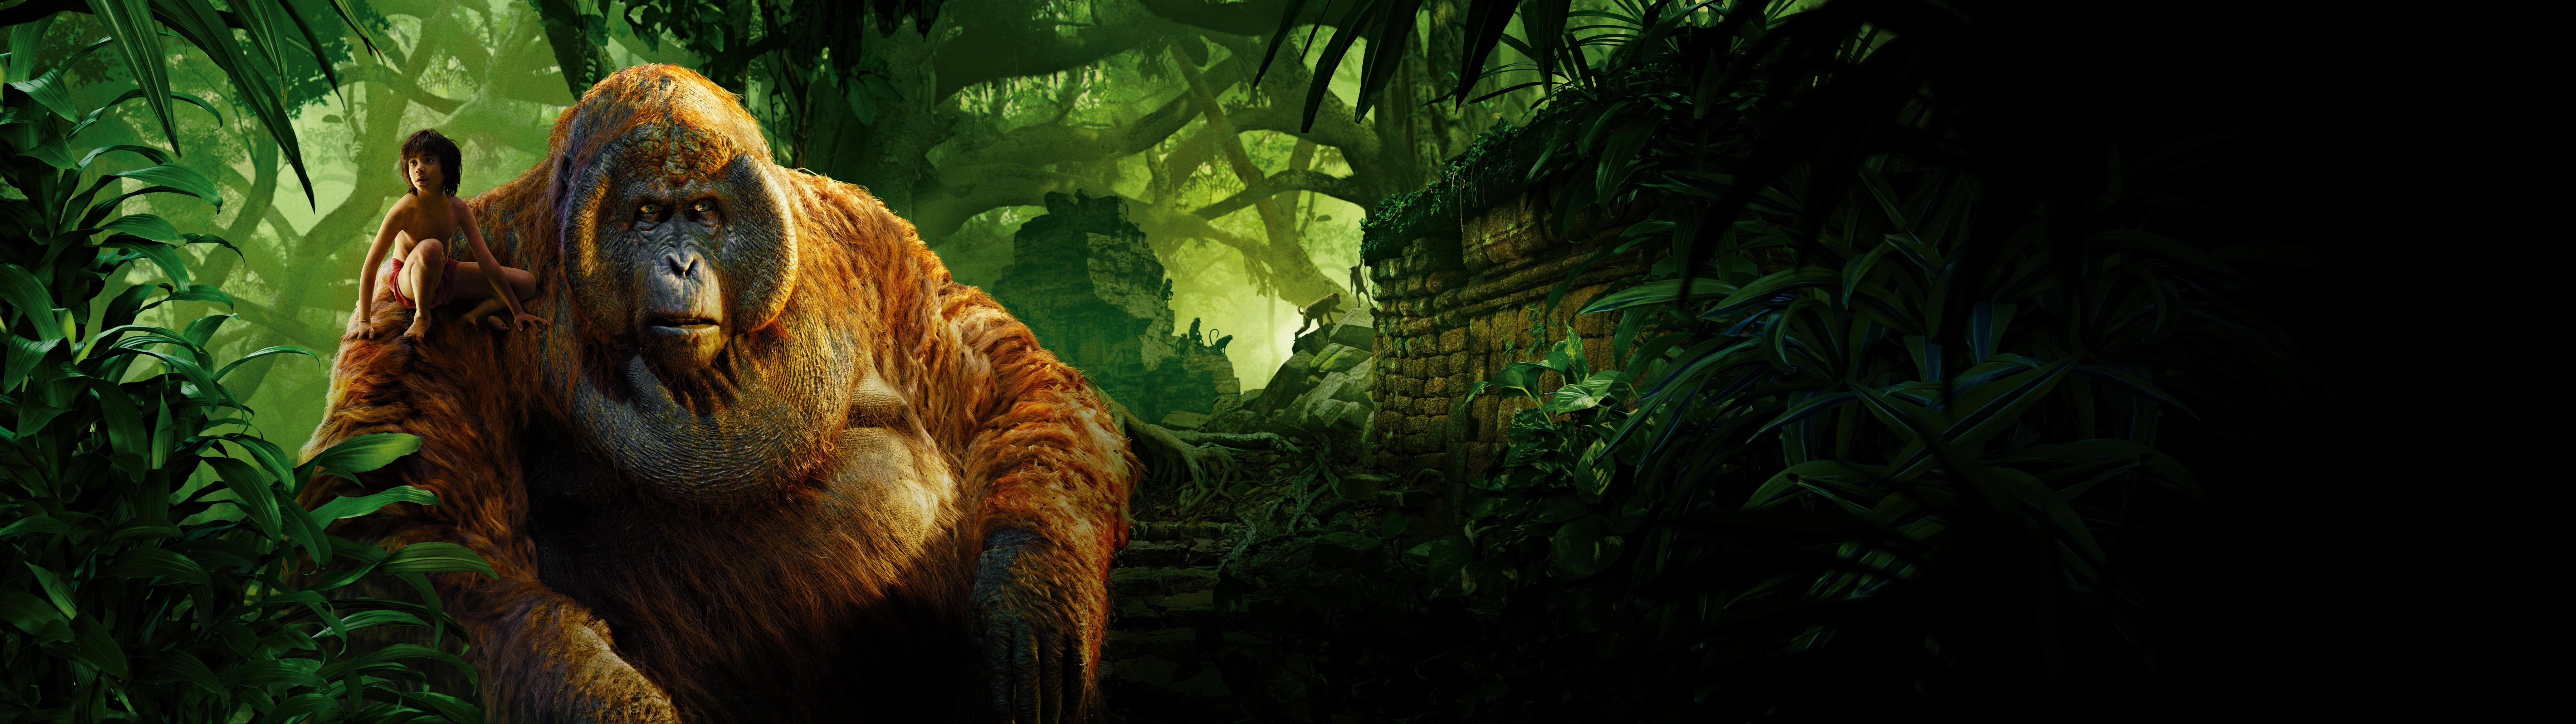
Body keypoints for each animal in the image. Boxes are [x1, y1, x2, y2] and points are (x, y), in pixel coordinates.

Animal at [299, 65, 1133, 724]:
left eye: (702, 211)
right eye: (646, 215)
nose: (680, 262)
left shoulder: (875, 242)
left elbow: (1012, 381)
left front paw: (1030, 600)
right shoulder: (456, 279)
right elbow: (398, 521)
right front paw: (614, 703)